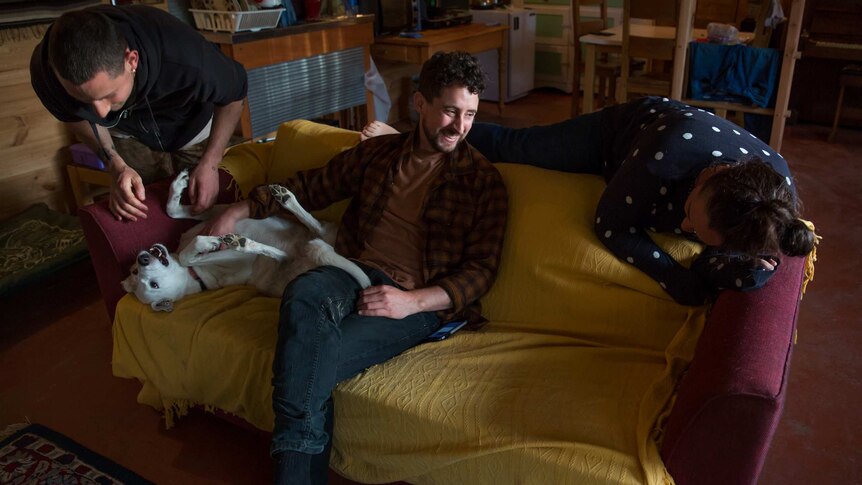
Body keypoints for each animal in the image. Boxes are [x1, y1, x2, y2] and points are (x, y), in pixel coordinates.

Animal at [121, 170, 372, 312]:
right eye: (153, 285)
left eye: (134, 271)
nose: (142, 259)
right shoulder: (239, 260)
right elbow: (188, 257)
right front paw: (207, 245)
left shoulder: (219, 217)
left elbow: (174, 211)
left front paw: (178, 186)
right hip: (316, 247)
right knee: (308, 241)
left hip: (327, 232)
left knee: (314, 227)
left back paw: (285, 198)